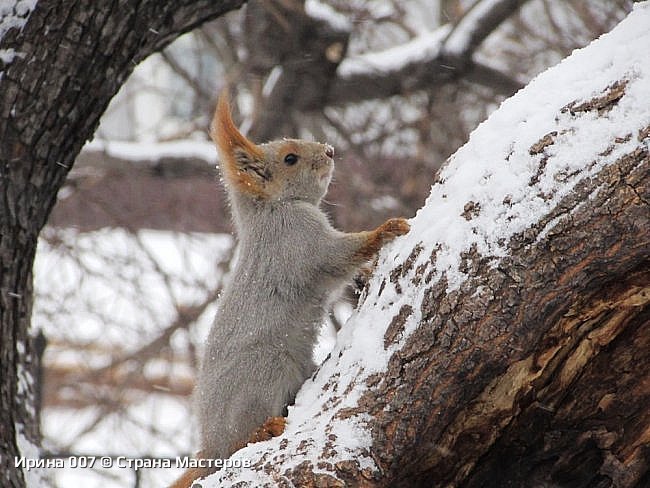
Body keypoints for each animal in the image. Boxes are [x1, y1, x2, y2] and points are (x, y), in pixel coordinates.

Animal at [170, 92, 408, 488]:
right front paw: (386, 229)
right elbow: (338, 255)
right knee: (238, 443)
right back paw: (262, 430)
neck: (274, 209)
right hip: (266, 368)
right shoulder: (301, 241)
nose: (330, 150)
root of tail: (209, 445)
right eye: (290, 159)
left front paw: (368, 271)